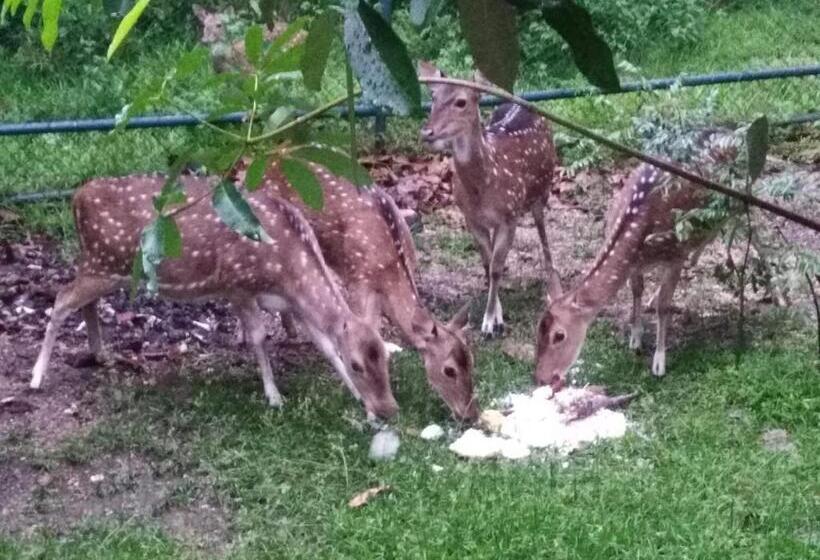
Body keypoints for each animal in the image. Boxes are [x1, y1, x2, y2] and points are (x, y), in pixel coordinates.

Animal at [29, 173, 399, 421]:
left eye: (384, 355)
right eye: (358, 364)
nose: (388, 410)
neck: (286, 268)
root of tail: (76, 198)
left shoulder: (290, 303)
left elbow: (324, 346)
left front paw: (355, 397)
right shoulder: (237, 285)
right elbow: (258, 337)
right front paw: (274, 396)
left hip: (101, 266)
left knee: (82, 302)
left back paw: (100, 353)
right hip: (101, 263)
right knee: (61, 299)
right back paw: (36, 377)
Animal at [233, 161, 479, 421]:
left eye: (472, 360)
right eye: (449, 370)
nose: (470, 414)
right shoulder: (358, 281)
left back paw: (290, 329)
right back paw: (242, 334)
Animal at [418, 61, 562, 338]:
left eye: (461, 101)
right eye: (433, 97)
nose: (427, 132)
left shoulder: (510, 216)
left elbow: (495, 267)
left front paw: (489, 324)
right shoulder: (472, 219)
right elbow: (488, 264)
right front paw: (497, 316)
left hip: (542, 190)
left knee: (543, 232)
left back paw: (553, 286)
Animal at [534, 129, 742, 390]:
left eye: (559, 335)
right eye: (536, 330)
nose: (540, 377)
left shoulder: (675, 253)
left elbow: (664, 305)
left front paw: (659, 362)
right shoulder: (635, 265)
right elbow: (636, 289)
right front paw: (635, 338)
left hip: (733, 197)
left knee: (731, 220)